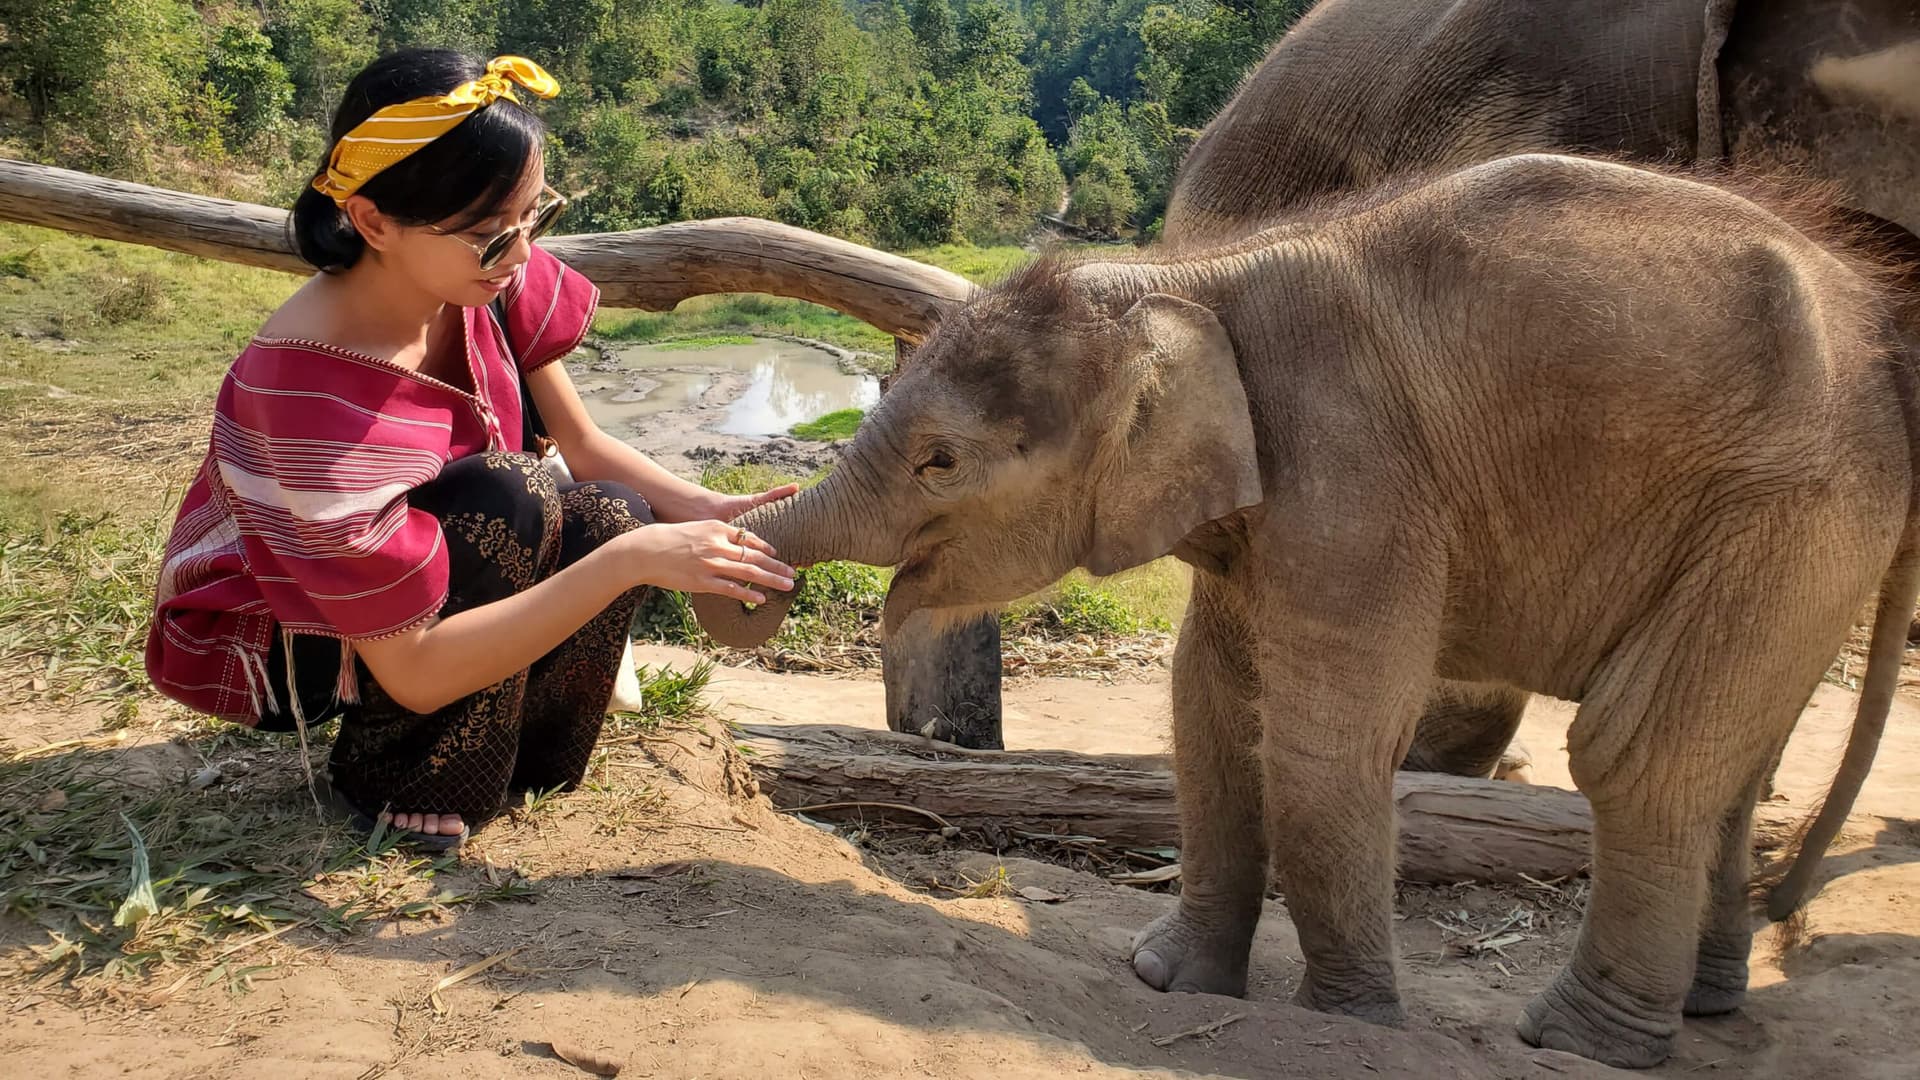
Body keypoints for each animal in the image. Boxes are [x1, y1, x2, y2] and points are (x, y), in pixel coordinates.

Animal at [691, 153, 1920, 1068]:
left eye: (940, 461)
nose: (746, 594)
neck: (1181, 282)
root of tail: (1884, 348)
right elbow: (1208, 711)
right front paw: (1166, 980)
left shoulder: (1352, 479)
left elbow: (1325, 741)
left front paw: (1346, 1026)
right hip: (1799, 532)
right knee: (1731, 757)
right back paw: (1702, 1008)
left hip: (1789, 506)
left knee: (1638, 751)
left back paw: (1577, 1041)